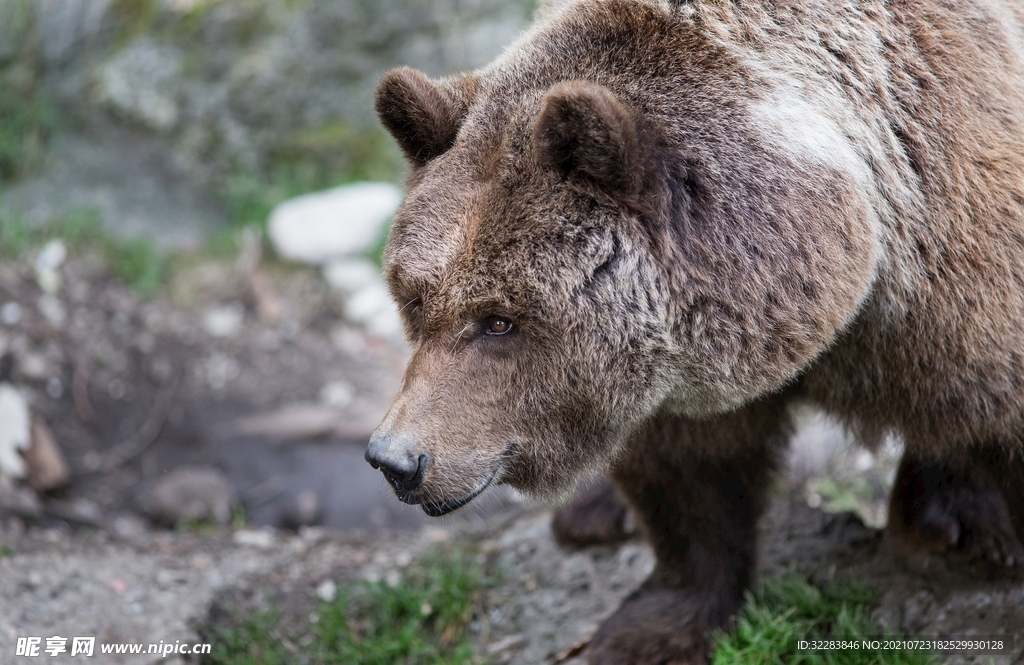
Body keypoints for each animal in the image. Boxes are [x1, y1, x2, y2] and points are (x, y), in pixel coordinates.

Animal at [365, 0, 1024, 662]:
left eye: (499, 320)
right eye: (415, 299)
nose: (396, 460)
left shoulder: (952, 267)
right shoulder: (668, 372)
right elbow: (688, 477)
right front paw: (651, 626)